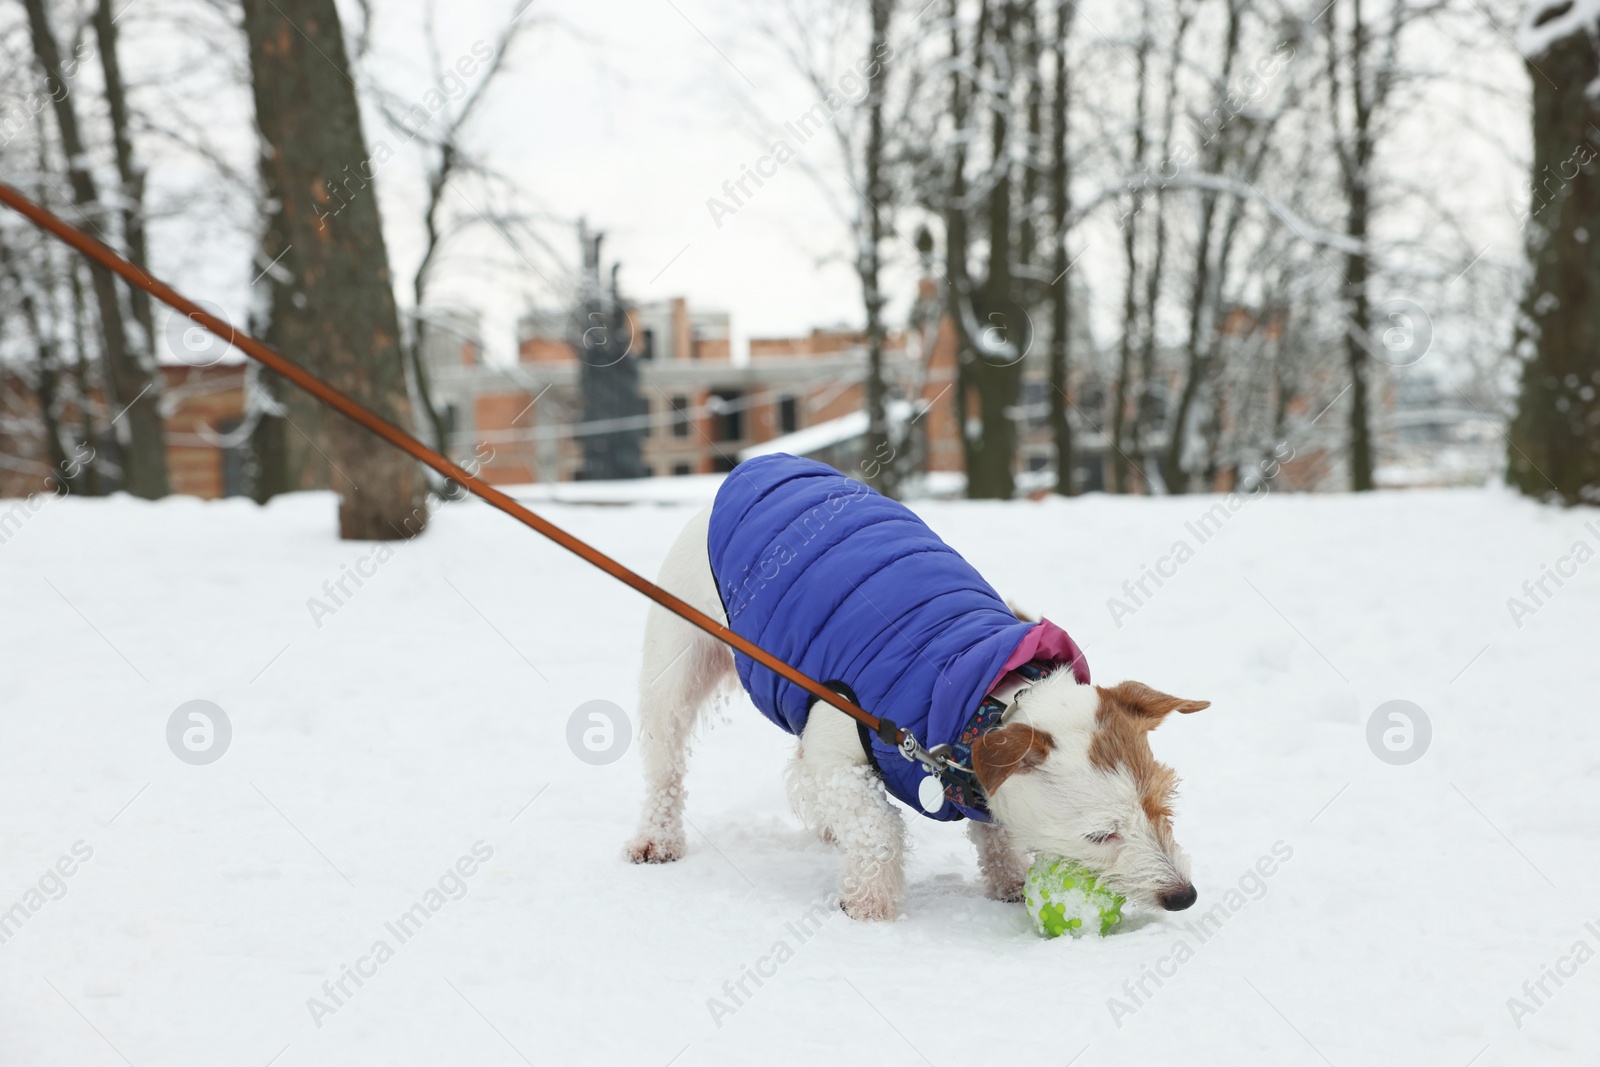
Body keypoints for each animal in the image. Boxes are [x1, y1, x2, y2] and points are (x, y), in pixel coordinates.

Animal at [624, 454, 1203, 921]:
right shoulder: (841, 745)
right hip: (674, 666)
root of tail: (748, 470)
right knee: (665, 765)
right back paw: (657, 837)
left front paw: (1009, 879)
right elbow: (878, 827)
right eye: (1101, 834)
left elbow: (992, 829)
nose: (1184, 897)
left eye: (1161, 804)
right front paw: (870, 903)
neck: (987, 700)